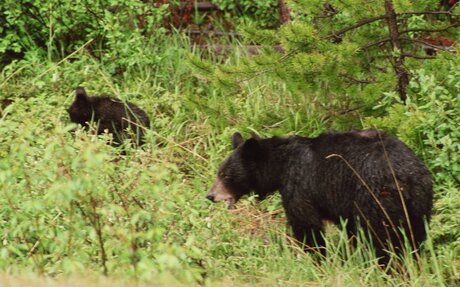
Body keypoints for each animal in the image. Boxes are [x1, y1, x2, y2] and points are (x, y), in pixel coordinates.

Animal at [207, 130, 434, 266]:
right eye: (219, 172)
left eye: (225, 175)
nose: (210, 195)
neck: (280, 166)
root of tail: (405, 179)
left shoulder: (299, 184)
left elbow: (306, 223)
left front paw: (316, 257)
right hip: (419, 204)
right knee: (415, 236)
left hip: (375, 199)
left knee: (383, 238)